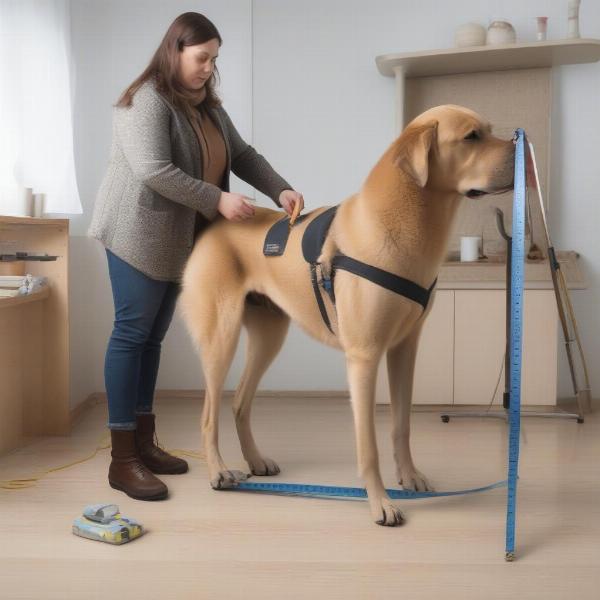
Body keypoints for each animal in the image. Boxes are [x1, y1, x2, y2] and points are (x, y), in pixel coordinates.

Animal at [179, 105, 516, 528]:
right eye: (472, 136)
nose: (521, 147)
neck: (403, 223)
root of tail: (216, 224)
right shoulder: (364, 357)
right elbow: (368, 444)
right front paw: (381, 503)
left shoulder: (404, 349)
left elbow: (401, 426)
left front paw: (409, 477)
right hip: (220, 339)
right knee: (208, 415)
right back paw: (220, 471)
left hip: (269, 337)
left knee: (240, 401)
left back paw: (254, 461)